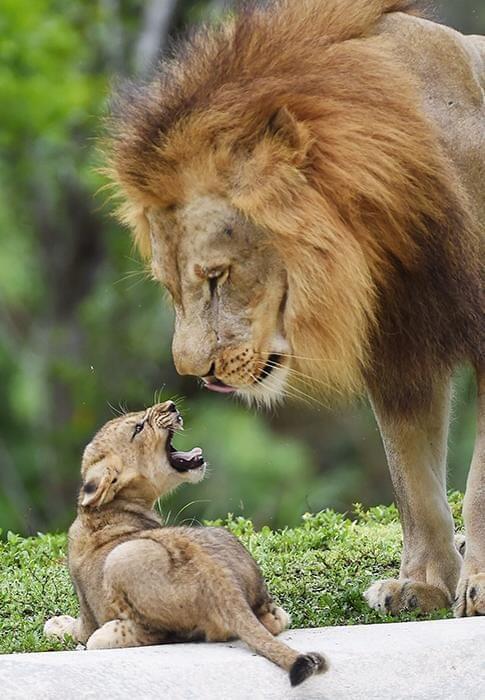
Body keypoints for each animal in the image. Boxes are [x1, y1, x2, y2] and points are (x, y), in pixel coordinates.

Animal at [108, 2, 482, 616]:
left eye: (217, 277)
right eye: (170, 286)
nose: (191, 372)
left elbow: (478, 485)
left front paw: (476, 585)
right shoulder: (401, 351)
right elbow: (414, 483)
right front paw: (422, 585)